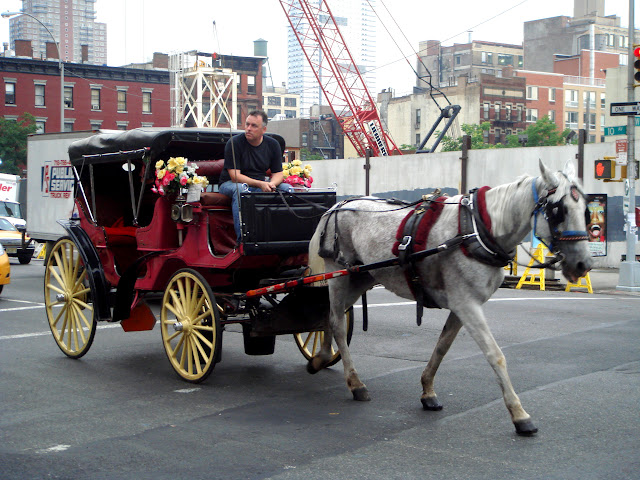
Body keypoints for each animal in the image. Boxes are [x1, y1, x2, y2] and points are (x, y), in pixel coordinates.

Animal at [308, 160, 592, 436]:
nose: (584, 264)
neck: (478, 231)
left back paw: (321, 357)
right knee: (337, 322)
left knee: (329, 316)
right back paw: (355, 383)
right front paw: (520, 415)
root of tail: (337, 205)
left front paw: (427, 390)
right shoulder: (467, 305)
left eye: (586, 210)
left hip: (362, 277)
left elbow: (442, 347)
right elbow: (495, 354)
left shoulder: (461, 305)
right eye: (559, 210)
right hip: (339, 275)